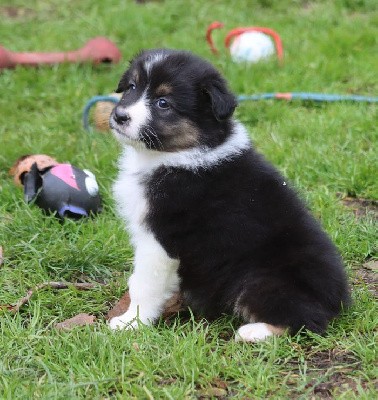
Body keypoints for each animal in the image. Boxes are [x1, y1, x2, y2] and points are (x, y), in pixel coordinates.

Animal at [108, 49, 350, 340]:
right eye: (131, 87)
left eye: (163, 103)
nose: (120, 116)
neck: (174, 155)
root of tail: (337, 302)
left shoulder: (160, 239)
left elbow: (143, 284)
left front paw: (130, 323)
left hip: (257, 277)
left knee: (307, 320)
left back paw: (252, 332)